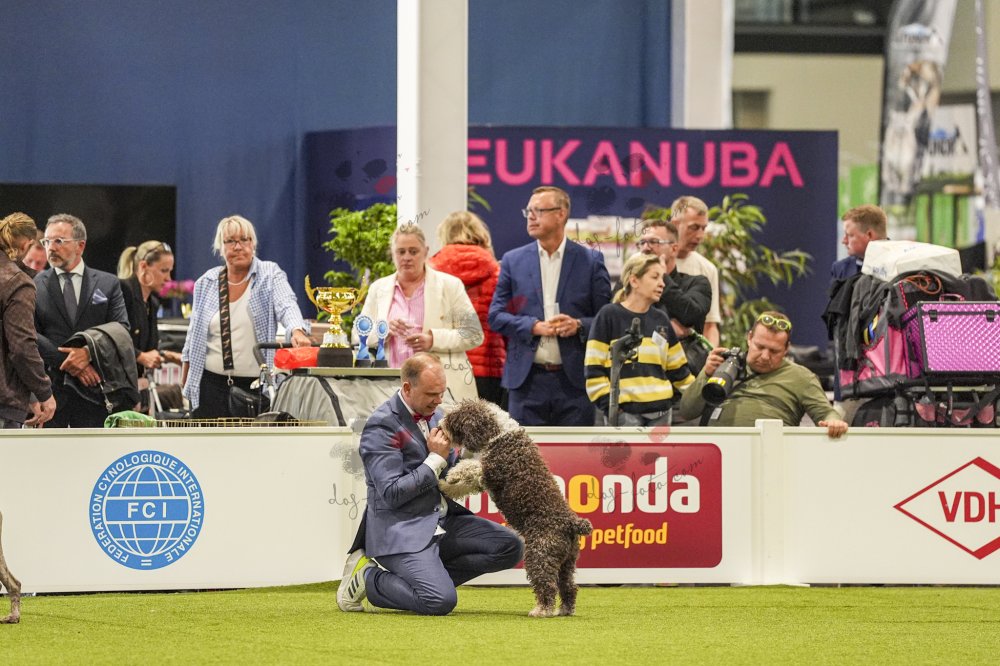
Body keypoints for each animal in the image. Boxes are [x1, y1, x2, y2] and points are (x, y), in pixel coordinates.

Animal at [438, 399, 592, 618]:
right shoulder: (483, 479)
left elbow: (470, 466)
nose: (439, 424)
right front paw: (445, 486)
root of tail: (571, 523)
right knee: (569, 586)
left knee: (547, 586)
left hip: (540, 554)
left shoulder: (491, 470)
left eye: (454, 419)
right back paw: (565, 609)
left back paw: (542, 610)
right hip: (567, 561)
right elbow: (463, 485)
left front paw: (452, 474)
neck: (497, 434)